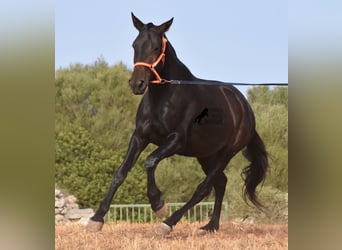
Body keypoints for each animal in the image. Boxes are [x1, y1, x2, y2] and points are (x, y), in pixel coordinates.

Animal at [85, 12, 268, 233]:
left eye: (156, 47)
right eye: (134, 45)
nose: (137, 84)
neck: (164, 98)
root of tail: (245, 107)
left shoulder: (175, 141)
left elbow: (150, 161)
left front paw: (158, 205)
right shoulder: (140, 137)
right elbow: (121, 172)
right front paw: (96, 219)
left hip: (226, 153)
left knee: (204, 188)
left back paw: (168, 223)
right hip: (206, 154)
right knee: (220, 183)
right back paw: (210, 226)